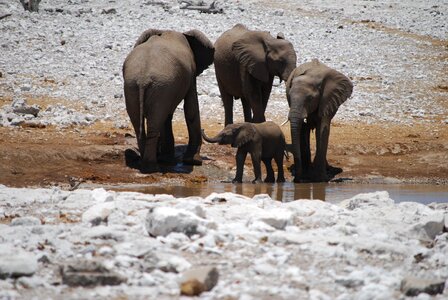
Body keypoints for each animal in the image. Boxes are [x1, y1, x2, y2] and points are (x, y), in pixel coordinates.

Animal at [121, 29, 214, 173]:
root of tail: (143, 79)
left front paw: (167, 159)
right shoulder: (190, 73)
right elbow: (191, 107)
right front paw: (193, 161)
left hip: (136, 86)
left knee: (141, 123)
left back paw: (146, 163)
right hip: (156, 85)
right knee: (155, 121)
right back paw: (151, 167)